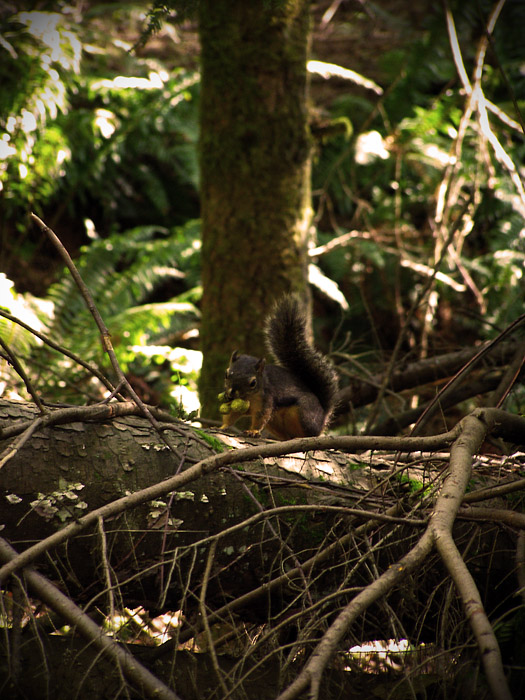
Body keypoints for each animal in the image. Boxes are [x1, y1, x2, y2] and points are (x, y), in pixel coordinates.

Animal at [218, 294, 338, 438]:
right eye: (226, 374)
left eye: (253, 383)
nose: (231, 393)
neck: (248, 397)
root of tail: (322, 420)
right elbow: (231, 415)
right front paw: (222, 426)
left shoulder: (266, 400)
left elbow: (260, 417)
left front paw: (253, 431)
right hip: (275, 423)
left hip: (304, 414)